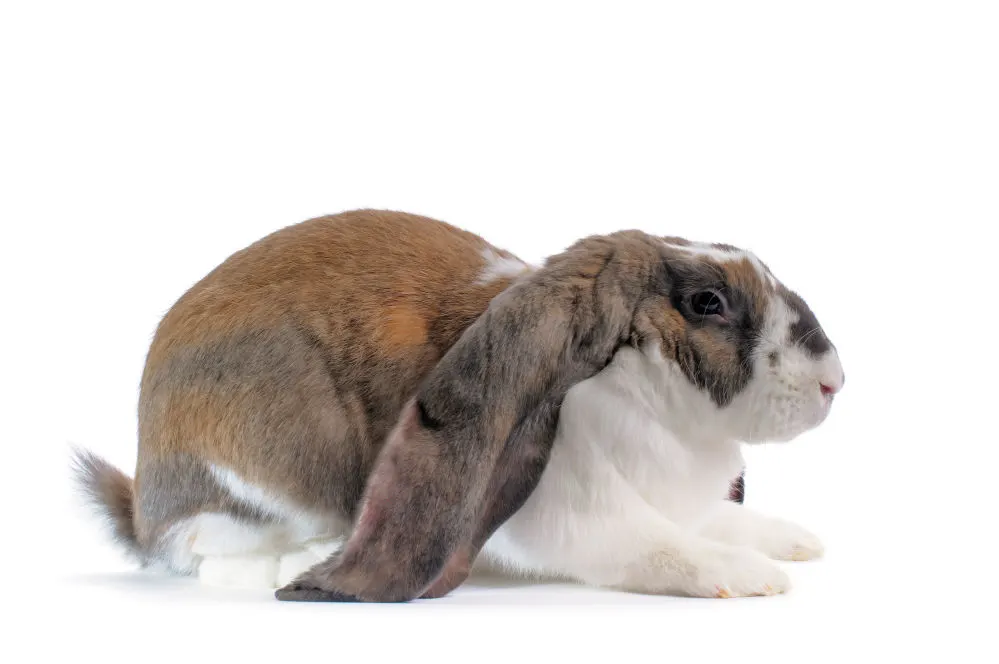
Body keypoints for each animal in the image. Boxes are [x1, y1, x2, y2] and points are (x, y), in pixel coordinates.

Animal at [76, 210, 844, 604]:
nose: (833, 381)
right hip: (276, 464)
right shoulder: (581, 513)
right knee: (206, 552)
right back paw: (301, 562)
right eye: (707, 303)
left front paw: (796, 542)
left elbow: (714, 521)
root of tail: (145, 504)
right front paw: (747, 578)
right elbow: (658, 546)